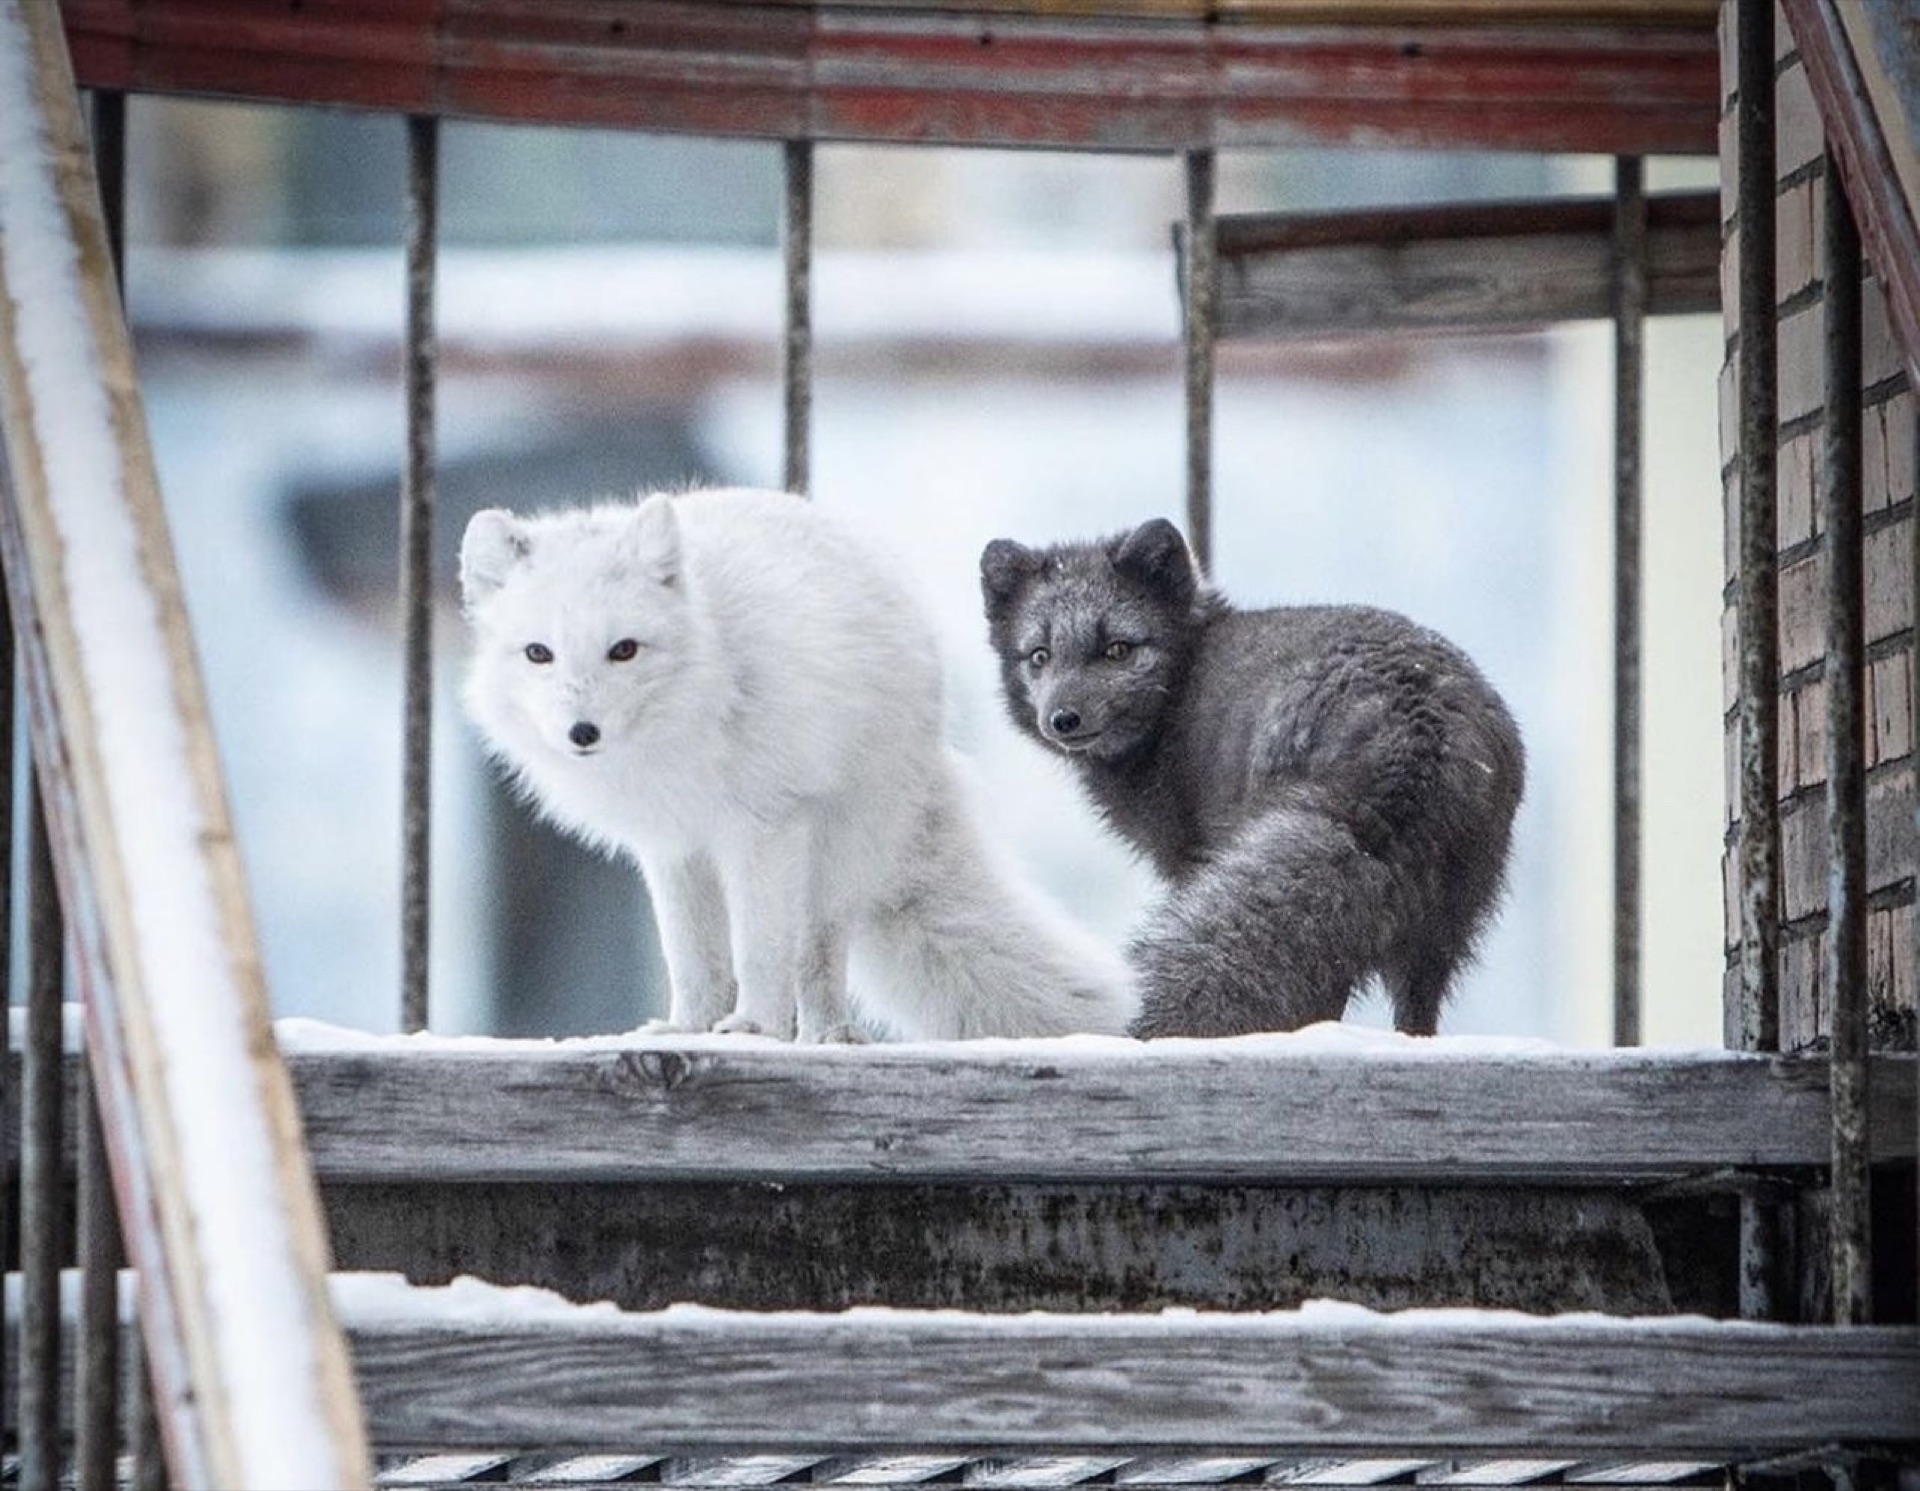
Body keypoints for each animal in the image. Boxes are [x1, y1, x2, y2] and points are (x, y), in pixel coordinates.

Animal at [459, 487, 1138, 1043]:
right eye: (538, 653)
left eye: (623, 650)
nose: (582, 733)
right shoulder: (674, 847)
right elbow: (692, 958)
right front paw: (689, 1029)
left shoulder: (765, 826)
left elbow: (761, 949)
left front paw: (752, 1028)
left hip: (836, 853)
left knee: (817, 952)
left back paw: (825, 1034)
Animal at [980, 517, 1524, 1039]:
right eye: (1039, 655)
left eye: (1118, 648)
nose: (1062, 719)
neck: (1180, 683)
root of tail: (1413, 727)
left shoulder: (1183, 855)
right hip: (1450, 914)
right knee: (1417, 1005)